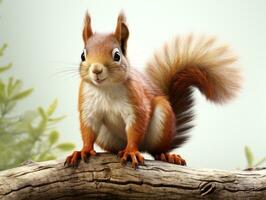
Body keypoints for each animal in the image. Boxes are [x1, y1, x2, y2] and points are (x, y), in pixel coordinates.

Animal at [64, 11, 241, 169]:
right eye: (82, 55)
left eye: (117, 55)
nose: (96, 70)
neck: (106, 89)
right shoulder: (88, 106)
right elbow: (88, 130)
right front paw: (83, 151)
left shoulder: (136, 104)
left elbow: (136, 128)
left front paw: (131, 152)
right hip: (106, 136)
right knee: (115, 147)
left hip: (162, 119)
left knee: (156, 150)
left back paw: (166, 155)